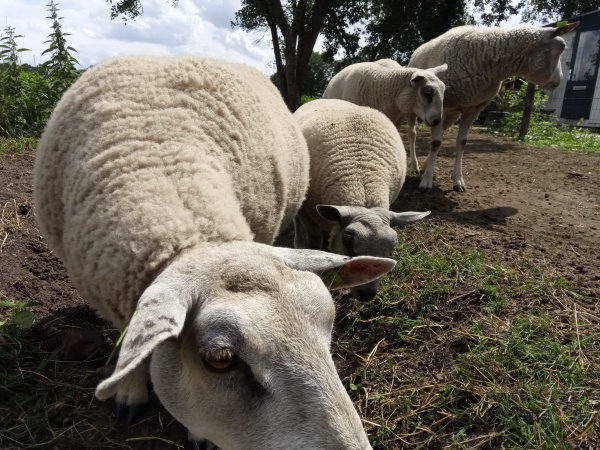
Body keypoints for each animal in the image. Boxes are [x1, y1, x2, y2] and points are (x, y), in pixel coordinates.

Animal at [406, 22, 580, 192]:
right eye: (561, 48)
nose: (558, 81)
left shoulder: (474, 108)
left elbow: (462, 142)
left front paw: (457, 180)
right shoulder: (444, 103)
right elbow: (436, 143)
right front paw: (427, 181)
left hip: (451, 113)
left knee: (441, 131)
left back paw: (425, 165)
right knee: (413, 134)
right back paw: (415, 166)